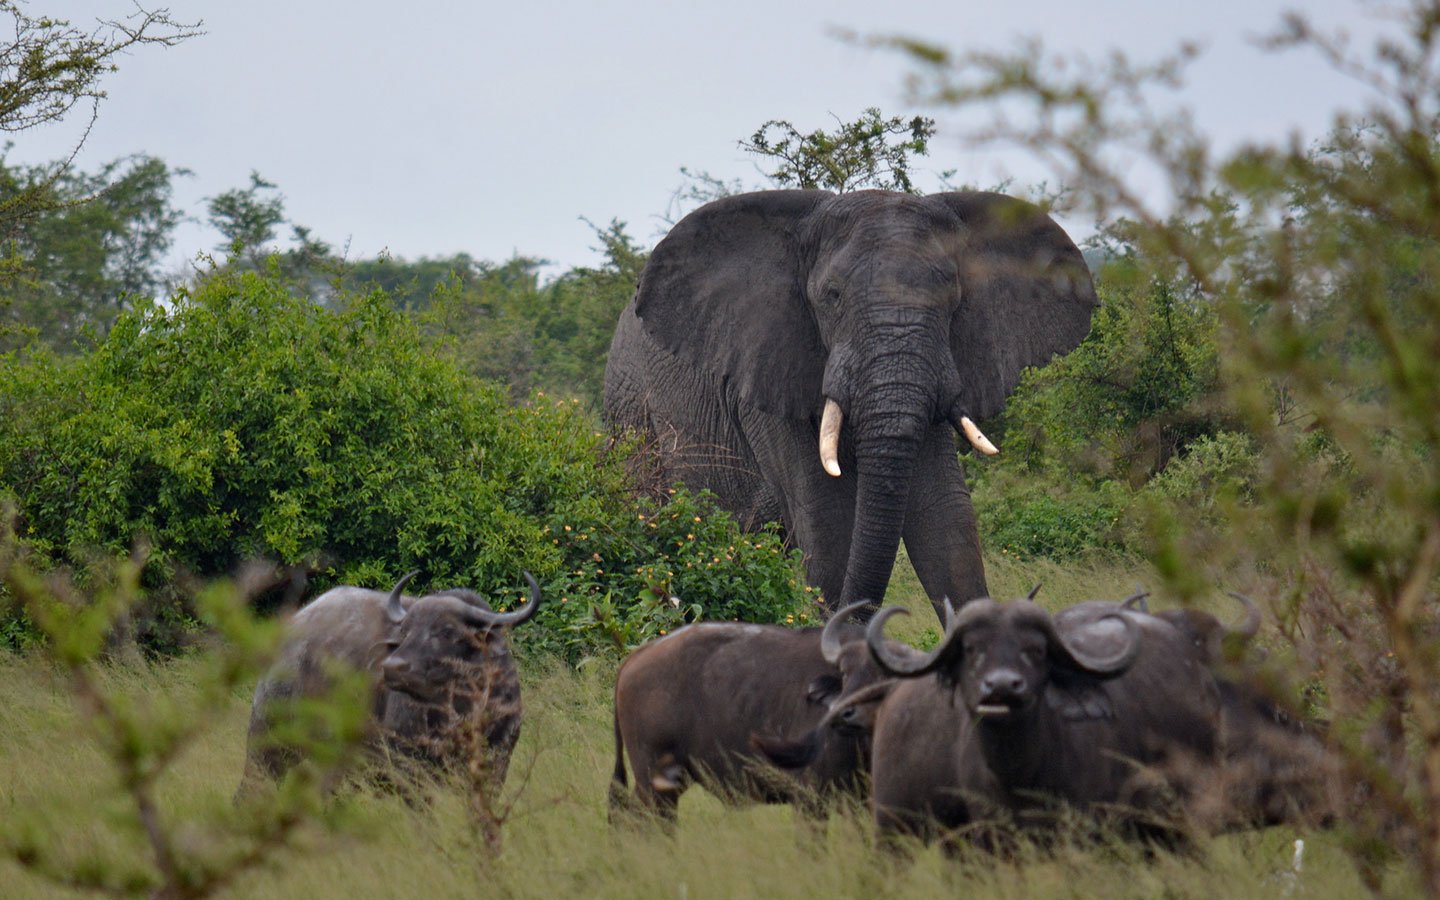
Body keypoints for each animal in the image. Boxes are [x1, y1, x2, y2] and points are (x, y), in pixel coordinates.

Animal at [240, 573, 541, 794]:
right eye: (406, 631)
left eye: (447, 631)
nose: (393, 667)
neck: (463, 710)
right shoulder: (411, 770)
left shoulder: (496, 765)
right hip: (267, 742)